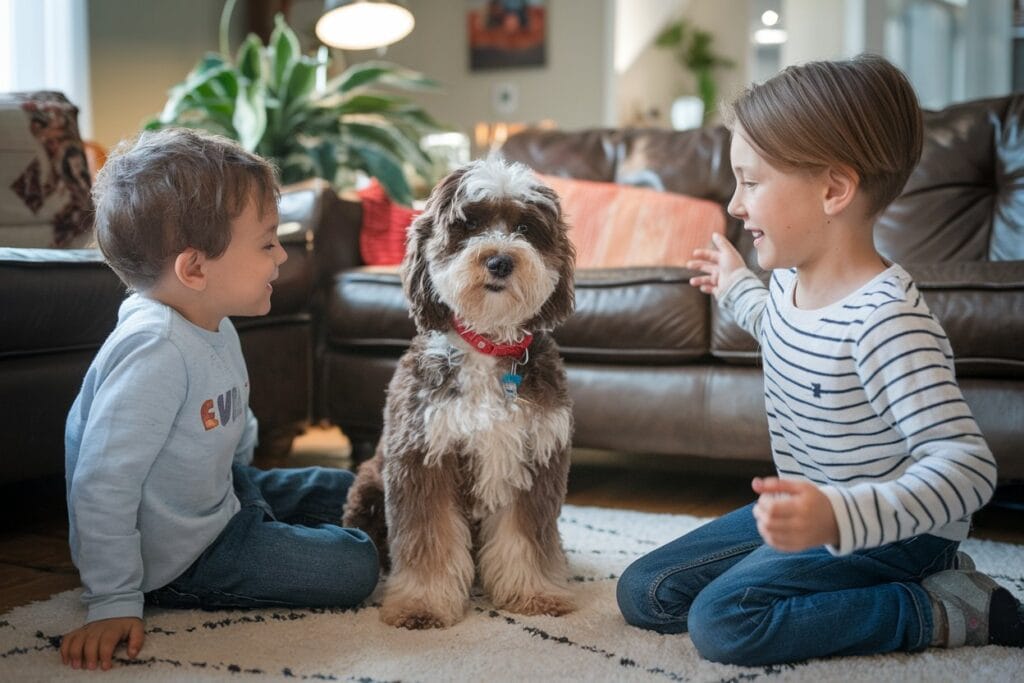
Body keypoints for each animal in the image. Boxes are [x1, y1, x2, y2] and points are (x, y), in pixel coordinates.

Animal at [344, 156, 577, 630]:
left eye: (525, 228)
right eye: (468, 225)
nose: (500, 261)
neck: (487, 344)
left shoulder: (535, 456)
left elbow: (526, 537)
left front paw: (535, 593)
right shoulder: (422, 457)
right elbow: (428, 541)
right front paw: (422, 604)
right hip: (371, 484)